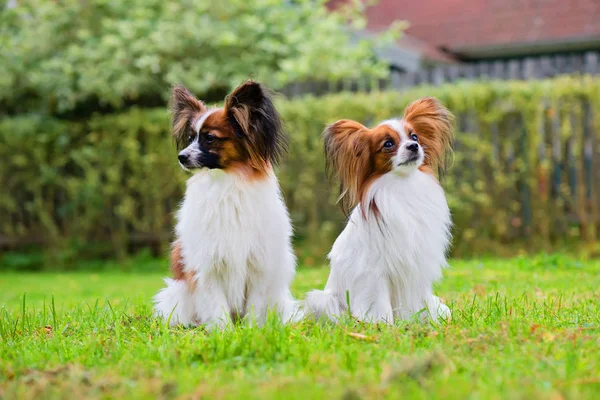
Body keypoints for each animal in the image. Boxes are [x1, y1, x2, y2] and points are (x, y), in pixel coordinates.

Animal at [308, 98, 452, 324]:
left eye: (414, 136)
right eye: (388, 144)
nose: (414, 146)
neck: (403, 185)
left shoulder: (416, 268)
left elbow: (421, 301)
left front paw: (427, 321)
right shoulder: (374, 271)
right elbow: (380, 303)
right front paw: (384, 325)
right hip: (322, 300)